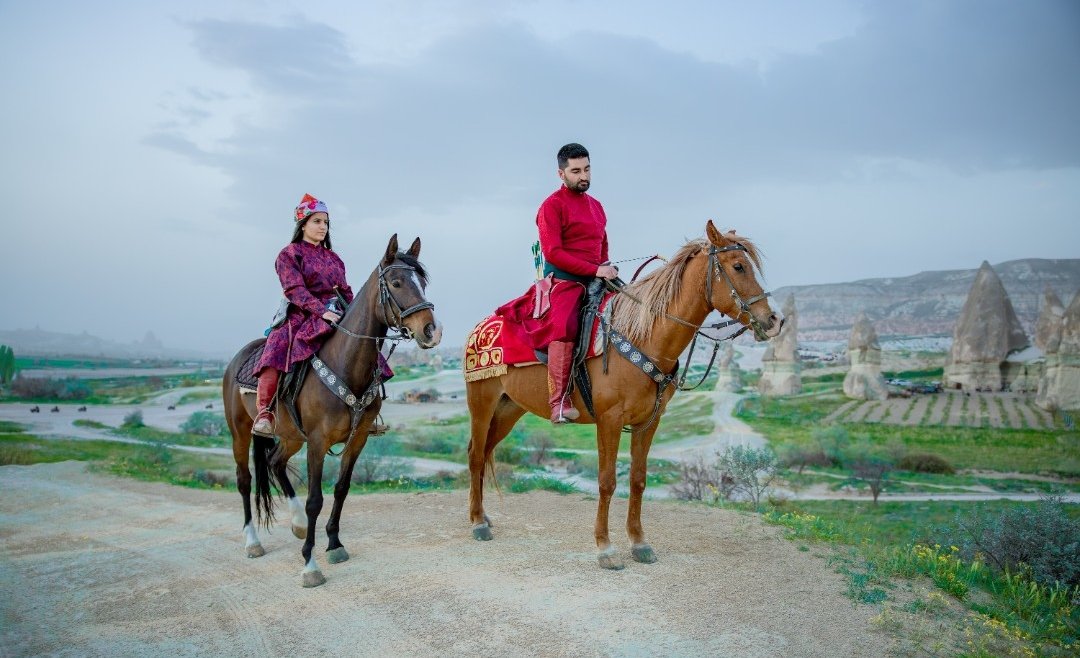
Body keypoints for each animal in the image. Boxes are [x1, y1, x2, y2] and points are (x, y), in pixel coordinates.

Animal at [223, 234, 441, 588]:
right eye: (396, 282)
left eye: (422, 282)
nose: (431, 331)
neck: (347, 364)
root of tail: (236, 360)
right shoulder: (317, 442)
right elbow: (316, 500)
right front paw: (310, 564)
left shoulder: (357, 439)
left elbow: (341, 489)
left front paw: (334, 543)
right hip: (241, 431)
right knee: (244, 480)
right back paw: (253, 541)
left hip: (290, 436)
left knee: (275, 462)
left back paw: (297, 524)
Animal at [465, 221, 781, 569]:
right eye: (738, 266)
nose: (772, 320)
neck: (644, 336)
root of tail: (481, 327)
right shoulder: (609, 421)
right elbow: (607, 481)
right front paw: (606, 548)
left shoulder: (649, 422)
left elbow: (638, 479)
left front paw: (639, 543)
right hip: (482, 404)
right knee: (475, 455)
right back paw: (478, 523)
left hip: (508, 410)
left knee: (485, 453)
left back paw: (482, 515)